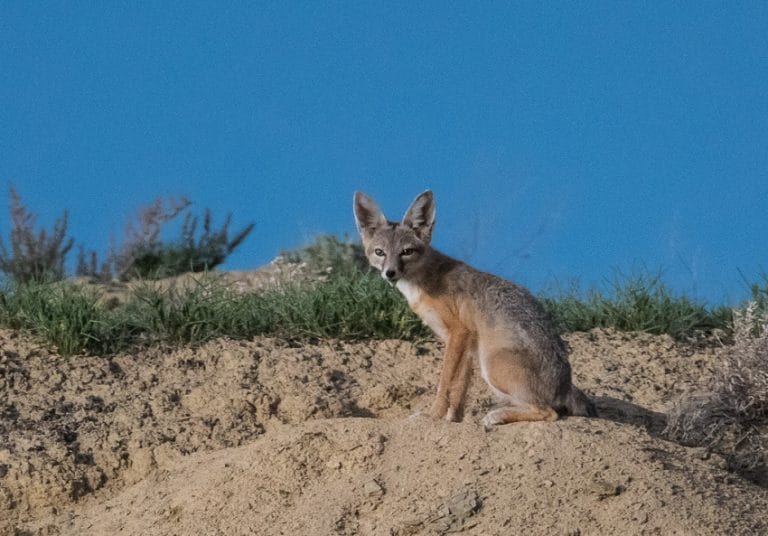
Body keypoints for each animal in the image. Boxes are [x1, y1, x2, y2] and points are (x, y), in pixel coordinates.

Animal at [353, 190, 596, 428]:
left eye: (406, 251)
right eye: (380, 252)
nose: (390, 273)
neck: (423, 280)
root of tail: (565, 386)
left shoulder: (459, 332)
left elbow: (445, 381)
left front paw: (432, 416)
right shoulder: (466, 343)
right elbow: (460, 387)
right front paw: (454, 420)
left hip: (492, 365)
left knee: (549, 412)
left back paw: (497, 416)